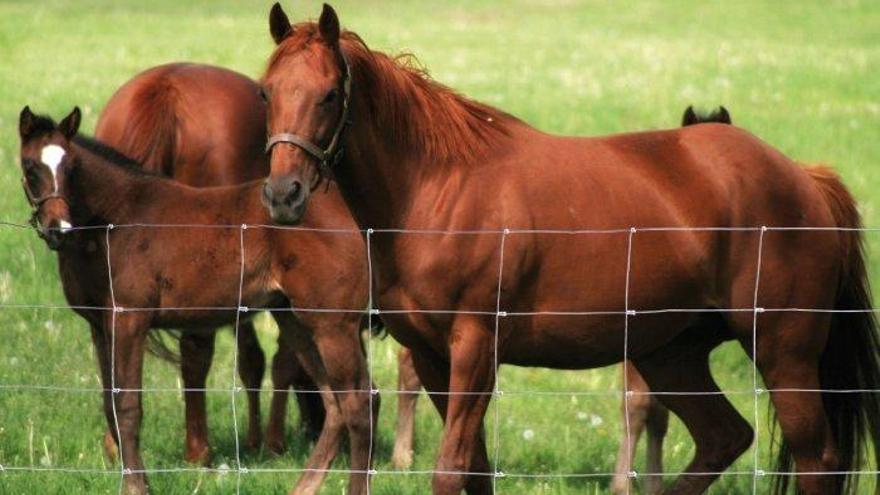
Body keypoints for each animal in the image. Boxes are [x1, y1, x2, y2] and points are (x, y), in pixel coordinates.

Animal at [17, 108, 372, 495]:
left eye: (71, 167)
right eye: (30, 167)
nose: (58, 229)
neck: (113, 220)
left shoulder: (130, 319)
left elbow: (128, 405)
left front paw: (136, 487)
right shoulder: (99, 326)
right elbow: (109, 402)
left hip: (333, 323)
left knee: (359, 400)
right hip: (295, 319)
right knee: (335, 402)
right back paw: (304, 486)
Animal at [92, 62, 324, 464]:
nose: (317, 426)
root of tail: (165, 89)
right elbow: (269, 358)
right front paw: (268, 441)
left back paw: (115, 443)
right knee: (196, 352)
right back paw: (198, 448)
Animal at [258, 4, 876, 495]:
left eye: (329, 94)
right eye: (267, 91)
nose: (283, 194)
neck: (437, 191)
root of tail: (803, 177)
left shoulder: (475, 348)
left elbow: (451, 470)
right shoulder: (432, 356)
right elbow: (474, 469)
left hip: (782, 351)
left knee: (816, 459)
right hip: (670, 353)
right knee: (724, 437)